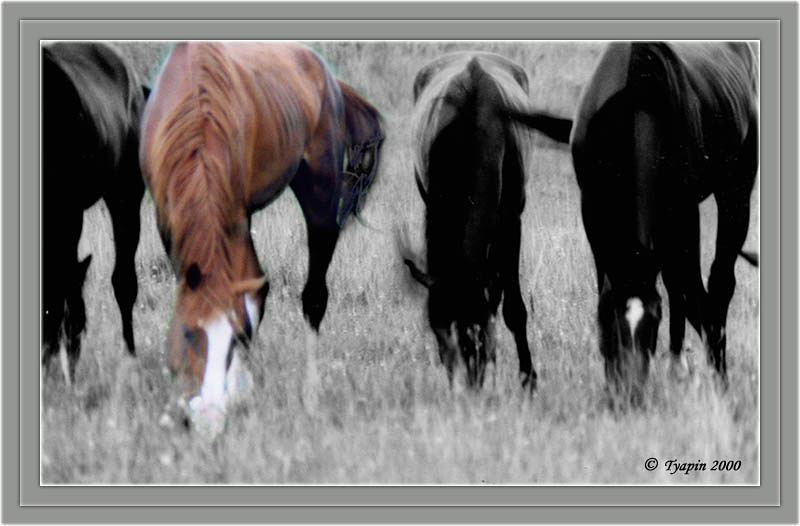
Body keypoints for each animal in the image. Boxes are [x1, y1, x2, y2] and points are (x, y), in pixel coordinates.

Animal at [139, 42, 382, 438]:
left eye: (235, 338)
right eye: (189, 333)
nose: (209, 419)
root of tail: (326, 75)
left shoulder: (235, 219)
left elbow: (249, 299)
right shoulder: (168, 216)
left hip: (320, 192)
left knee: (313, 296)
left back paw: (309, 395)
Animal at [404, 53, 540, 392]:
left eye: (478, 332)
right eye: (438, 332)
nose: (467, 386)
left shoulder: (512, 222)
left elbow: (514, 309)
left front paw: (528, 378)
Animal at [512, 42, 756, 400]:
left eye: (654, 321)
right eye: (608, 320)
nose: (629, 393)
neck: (635, 100)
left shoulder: (684, 212)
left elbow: (691, 292)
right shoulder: (594, 209)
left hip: (734, 191)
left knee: (717, 283)